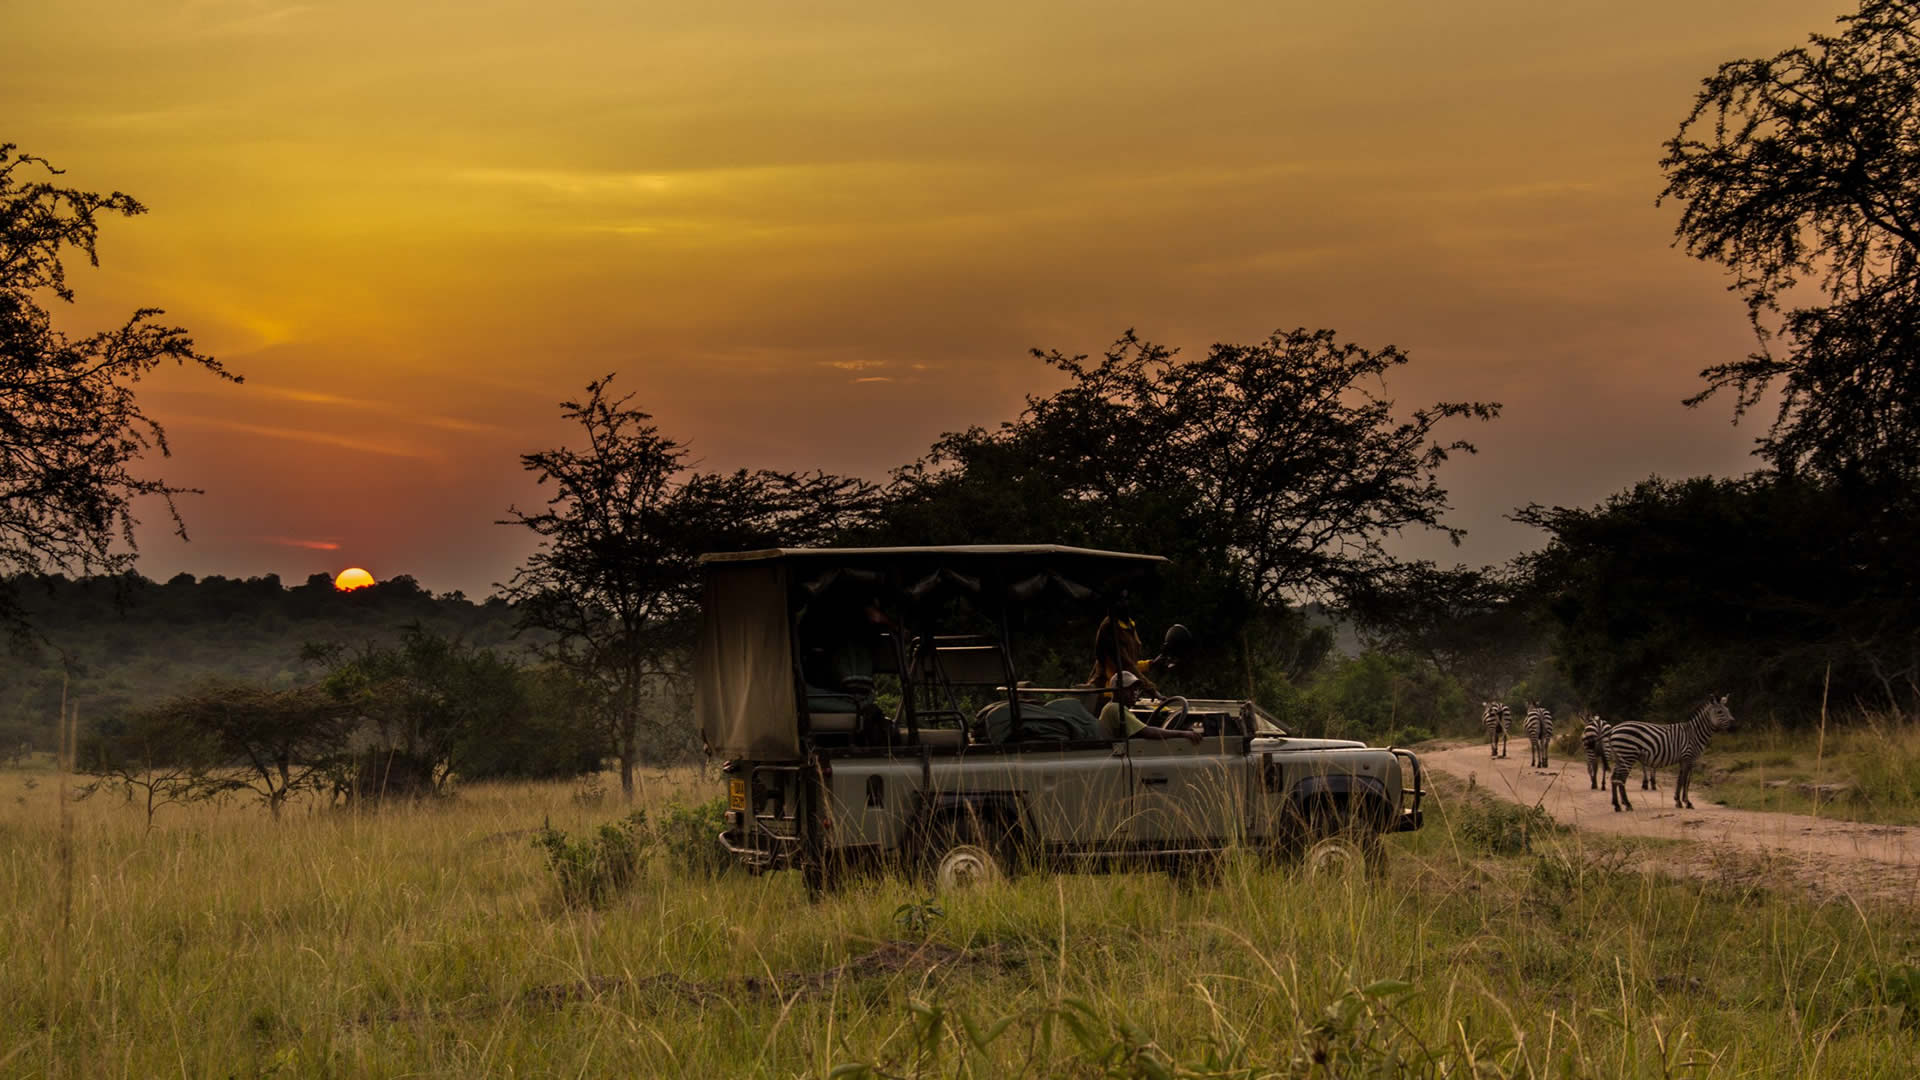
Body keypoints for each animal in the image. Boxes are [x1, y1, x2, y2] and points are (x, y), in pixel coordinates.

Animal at [1597, 691, 1735, 810]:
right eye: (1719, 712)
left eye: (1728, 711)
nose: (1733, 726)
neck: (1694, 733)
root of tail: (1614, 729)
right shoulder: (1689, 758)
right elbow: (1686, 781)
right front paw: (1687, 802)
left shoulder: (1683, 760)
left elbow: (1680, 780)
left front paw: (1677, 801)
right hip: (1627, 756)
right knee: (1620, 780)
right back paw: (1627, 805)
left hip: (1620, 757)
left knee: (1614, 778)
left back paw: (1617, 805)